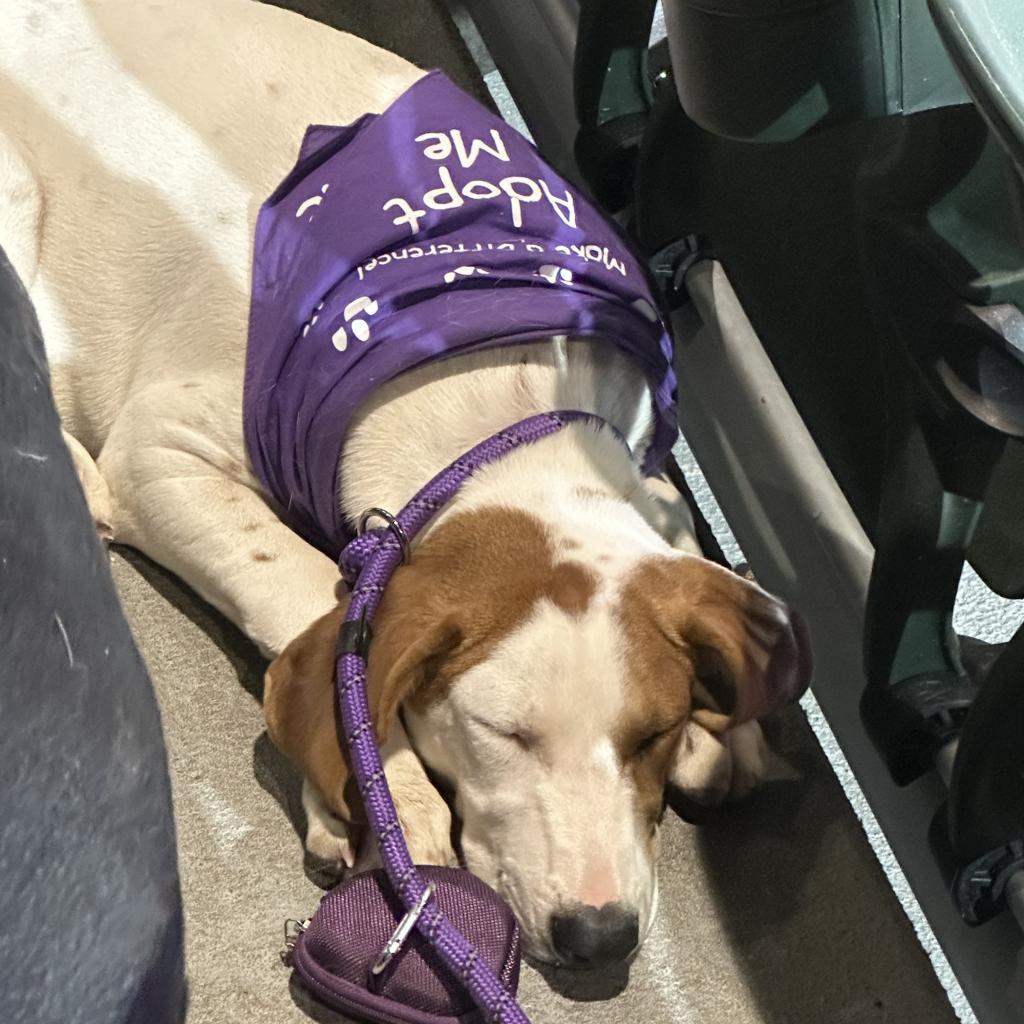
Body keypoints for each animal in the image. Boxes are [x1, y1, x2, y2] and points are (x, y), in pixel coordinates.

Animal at [2, 0, 806, 966]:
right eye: (504, 734)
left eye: (650, 731)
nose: (600, 939)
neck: (497, 397)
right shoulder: (163, 446)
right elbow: (308, 589)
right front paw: (385, 788)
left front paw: (722, 733)